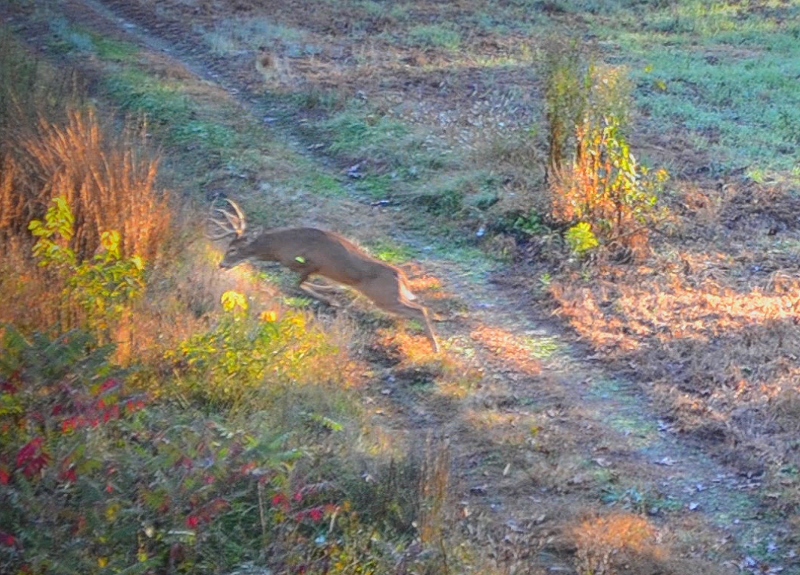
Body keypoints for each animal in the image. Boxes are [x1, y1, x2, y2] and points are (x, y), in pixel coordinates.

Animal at [206, 200, 440, 354]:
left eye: (233, 250)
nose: (221, 264)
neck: (277, 248)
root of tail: (401, 277)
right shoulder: (312, 268)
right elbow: (308, 285)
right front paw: (334, 293)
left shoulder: (307, 263)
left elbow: (299, 285)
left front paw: (331, 298)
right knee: (420, 308)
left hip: (384, 297)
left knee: (420, 309)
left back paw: (436, 347)